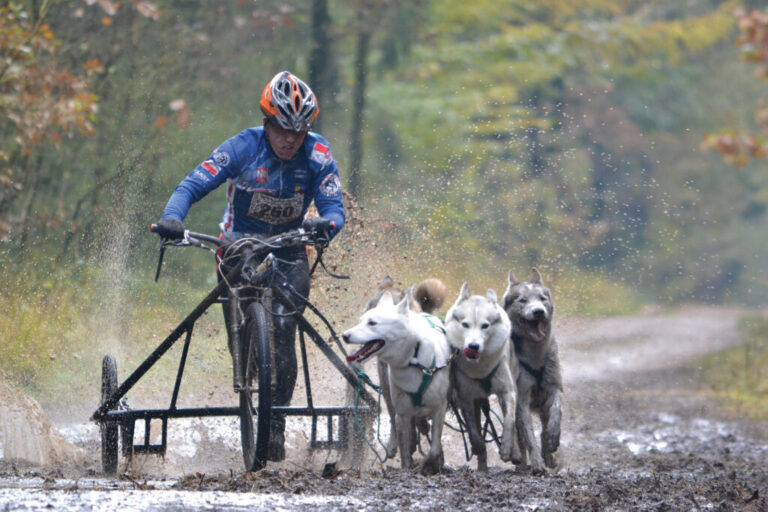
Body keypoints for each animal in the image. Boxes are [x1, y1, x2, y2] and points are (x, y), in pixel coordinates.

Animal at [340, 286, 450, 474]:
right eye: (361, 320)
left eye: (372, 323)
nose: (345, 336)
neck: (413, 360)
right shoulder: (402, 413)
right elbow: (404, 449)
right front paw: (408, 465)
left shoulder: (439, 408)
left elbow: (435, 447)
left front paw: (431, 464)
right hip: (386, 390)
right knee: (394, 418)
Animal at [444, 284, 520, 472]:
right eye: (465, 324)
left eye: (485, 325)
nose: (473, 346)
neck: (480, 369)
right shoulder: (465, 397)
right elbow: (473, 429)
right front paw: (478, 446)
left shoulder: (507, 391)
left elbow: (509, 420)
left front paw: (506, 448)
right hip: (477, 400)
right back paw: (482, 465)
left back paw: (515, 452)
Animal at [504, 270, 564, 474]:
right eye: (522, 300)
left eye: (542, 298)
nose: (538, 311)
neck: (535, 356)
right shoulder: (522, 399)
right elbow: (529, 437)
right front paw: (537, 463)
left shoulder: (554, 387)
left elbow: (556, 411)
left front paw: (553, 437)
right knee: (517, 433)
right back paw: (520, 460)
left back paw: (549, 455)